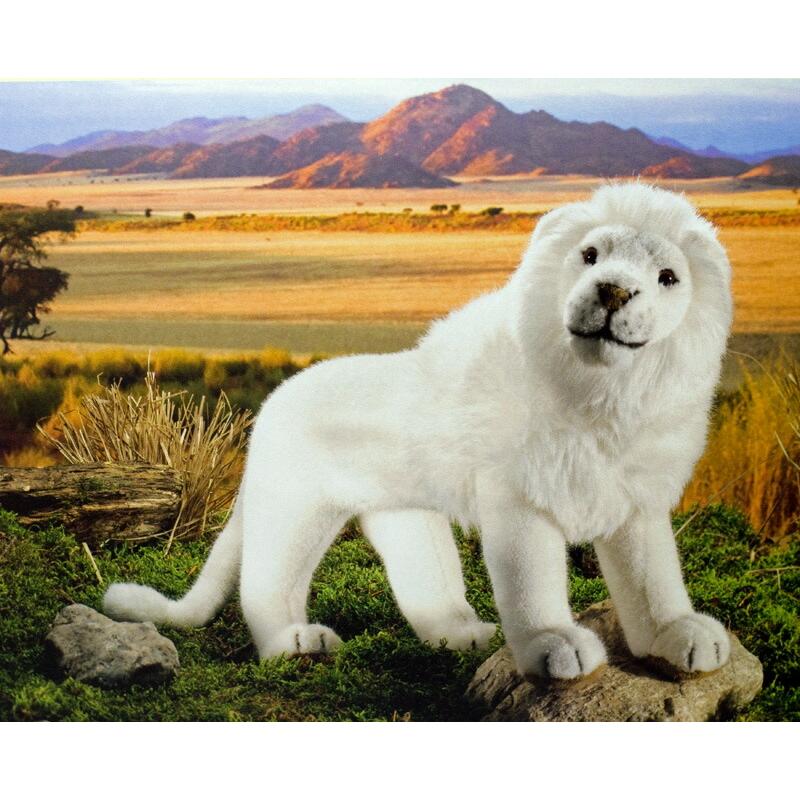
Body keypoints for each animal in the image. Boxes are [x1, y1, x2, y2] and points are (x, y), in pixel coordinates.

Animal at [104, 183, 733, 680]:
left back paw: (464, 634)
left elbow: (653, 578)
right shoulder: (516, 497)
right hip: (293, 507)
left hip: (404, 516)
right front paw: (552, 646)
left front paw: (679, 634)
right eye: (590, 254)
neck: (602, 398)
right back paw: (294, 644)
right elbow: (532, 582)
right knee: (266, 582)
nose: (613, 290)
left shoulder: (635, 498)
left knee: (425, 585)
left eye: (668, 277)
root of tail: (274, 402)